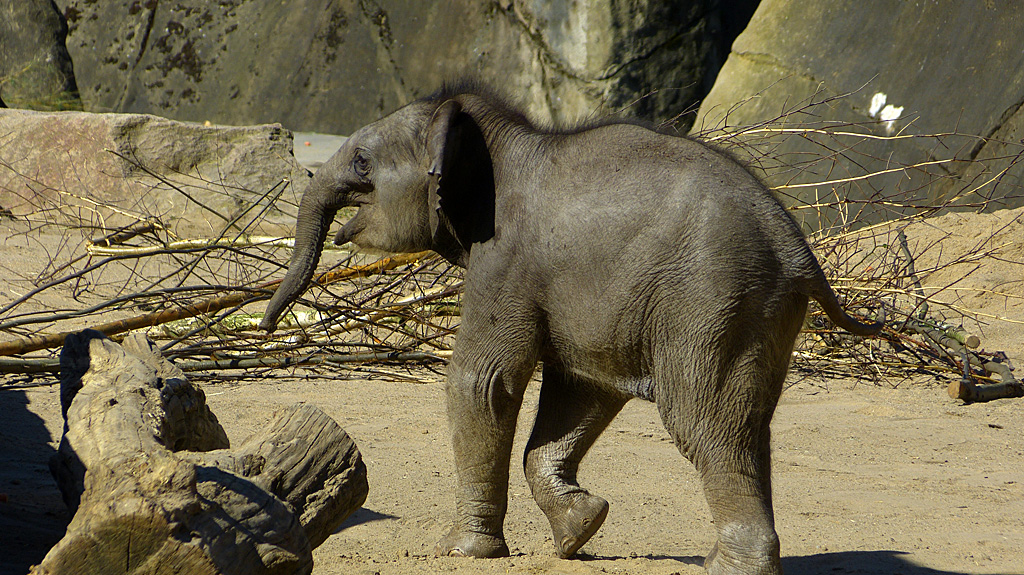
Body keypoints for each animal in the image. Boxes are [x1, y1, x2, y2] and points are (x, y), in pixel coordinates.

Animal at [262, 82, 880, 568]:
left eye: (363, 163)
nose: (268, 327)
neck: (498, 138)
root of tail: (798, 248)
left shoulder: (506, 259)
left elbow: (483, 384)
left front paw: (461, 551)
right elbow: (585, 387)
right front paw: (580, 530)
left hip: (713, 297)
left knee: (704, 420)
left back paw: (730, 567)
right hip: (758, 309)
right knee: (746, 423)